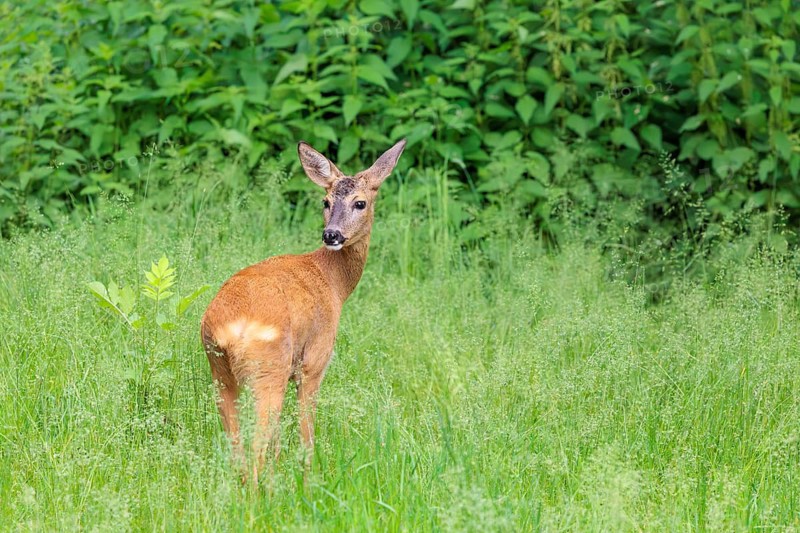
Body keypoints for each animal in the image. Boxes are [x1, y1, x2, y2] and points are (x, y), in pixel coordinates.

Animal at [200, 139, 406, 481]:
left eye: (360, 203)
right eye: (326, 200)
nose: (331, 234)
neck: (333, 281)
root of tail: (227, 328)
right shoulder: (314, 362)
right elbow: (306, 434)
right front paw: (308, 479)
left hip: (219, 370)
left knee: (237, 447)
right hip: (269, 368)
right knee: (256, 446)